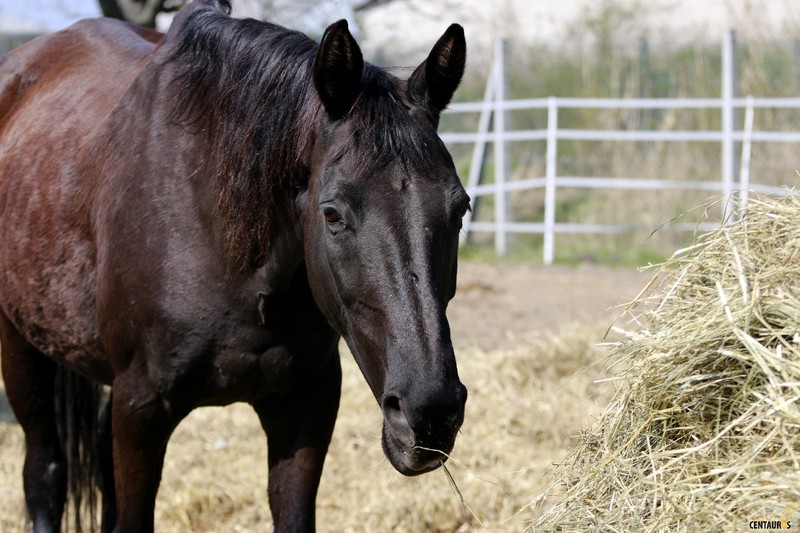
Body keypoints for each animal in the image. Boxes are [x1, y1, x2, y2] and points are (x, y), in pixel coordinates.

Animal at [0, 2, 468, 528]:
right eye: (332, 214)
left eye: (461, 207)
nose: (431, 413)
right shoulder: (140, 409)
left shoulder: (305, 404)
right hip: (21, 344)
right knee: (45, 474)